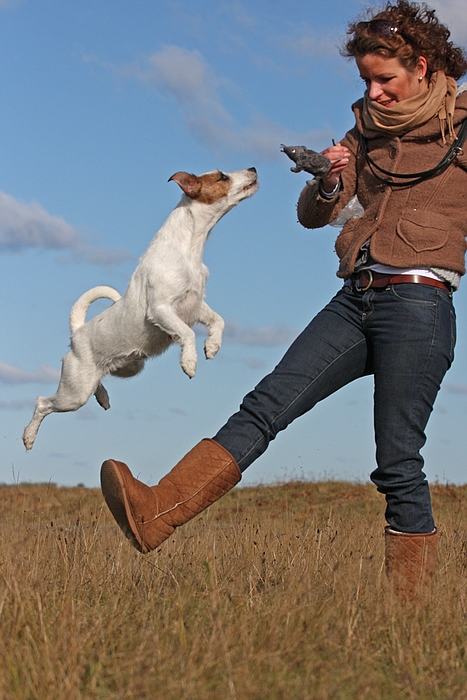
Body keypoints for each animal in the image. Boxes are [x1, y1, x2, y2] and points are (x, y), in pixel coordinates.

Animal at [22, 168, 260, 448]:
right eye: (222, 176)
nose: (253, 169)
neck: (189, 248)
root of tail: (77, 331)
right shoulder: (161, 309)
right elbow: (187, 333)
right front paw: (190, 362)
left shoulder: (196, 305)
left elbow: (218, 321)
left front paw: (212, 346)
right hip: (74, 392)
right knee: (42, 403)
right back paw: (29, 437)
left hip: (128, 367)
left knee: (97, 383)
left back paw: (102, 397)